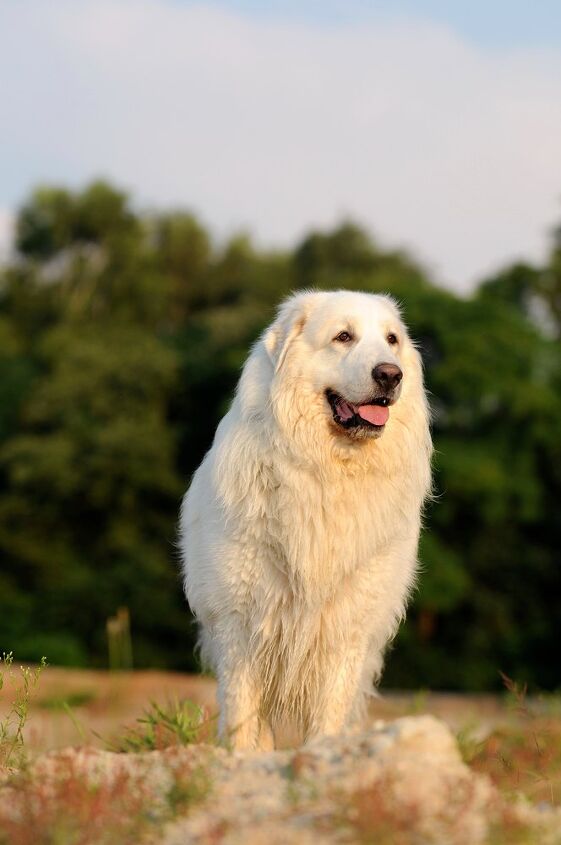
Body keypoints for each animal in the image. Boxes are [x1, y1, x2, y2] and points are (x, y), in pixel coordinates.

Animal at [178, 292, 428, 752]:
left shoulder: (347, 630)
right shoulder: (240, 627)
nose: (390, 374)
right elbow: (242, 719)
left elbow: (329, 716)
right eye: (343, 336)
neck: (326, 473)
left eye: (392, 340)